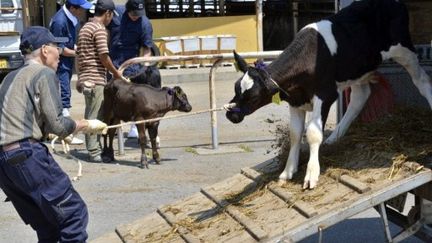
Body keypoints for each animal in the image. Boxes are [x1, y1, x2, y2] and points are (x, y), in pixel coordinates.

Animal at [224, 0, 432, 190]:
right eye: (235, 88)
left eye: (253, 96)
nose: (231, 114)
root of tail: (395, 3)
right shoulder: (295, 100)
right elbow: (295, 134)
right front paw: (288, 171)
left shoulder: (325, 95)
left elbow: (313, 133)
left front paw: (311, 175)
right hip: (356, 67)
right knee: (360, 96)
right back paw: (335, 137)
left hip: (405, 52)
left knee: (422, 81)